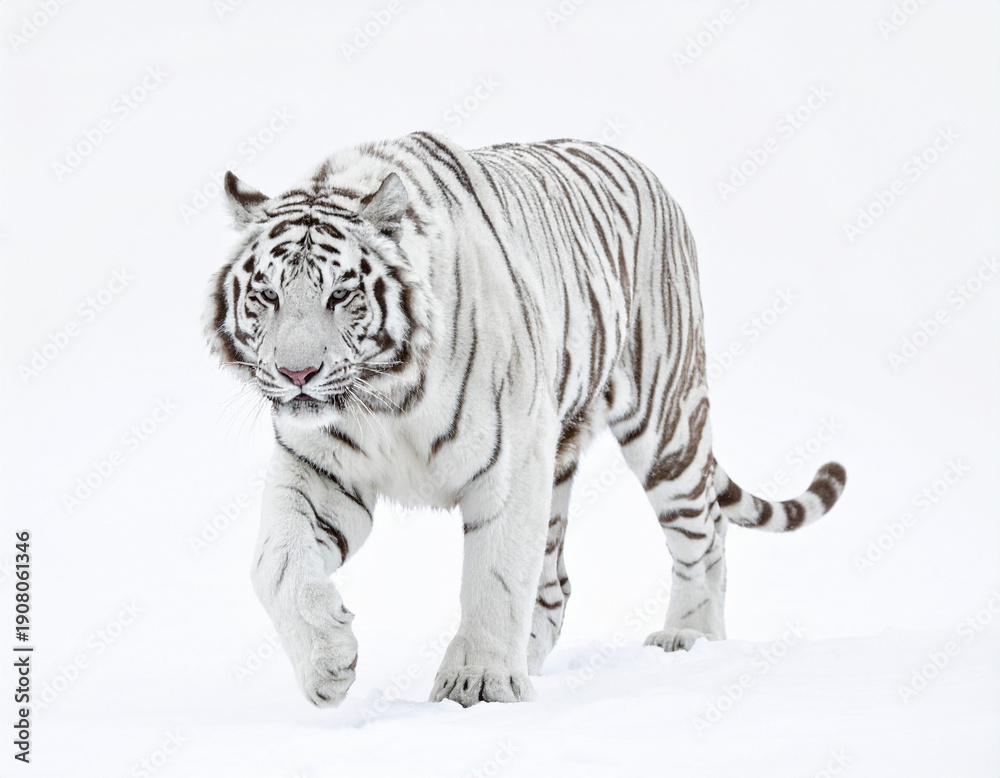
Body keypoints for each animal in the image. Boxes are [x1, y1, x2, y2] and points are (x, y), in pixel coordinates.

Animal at [204, 131, 846, 709]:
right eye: (266, 294)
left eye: (340, 294)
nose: (297, 374)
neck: (386, 397)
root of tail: (642, 168)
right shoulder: (317, 471)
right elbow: (275, 564)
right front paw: (328, 663)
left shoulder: (509, 465)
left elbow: (493, 578)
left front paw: (481, 683)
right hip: (560, 457)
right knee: (557, 581)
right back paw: (530, 658)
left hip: (665, 421)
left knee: (704, 533)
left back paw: (689, 638)